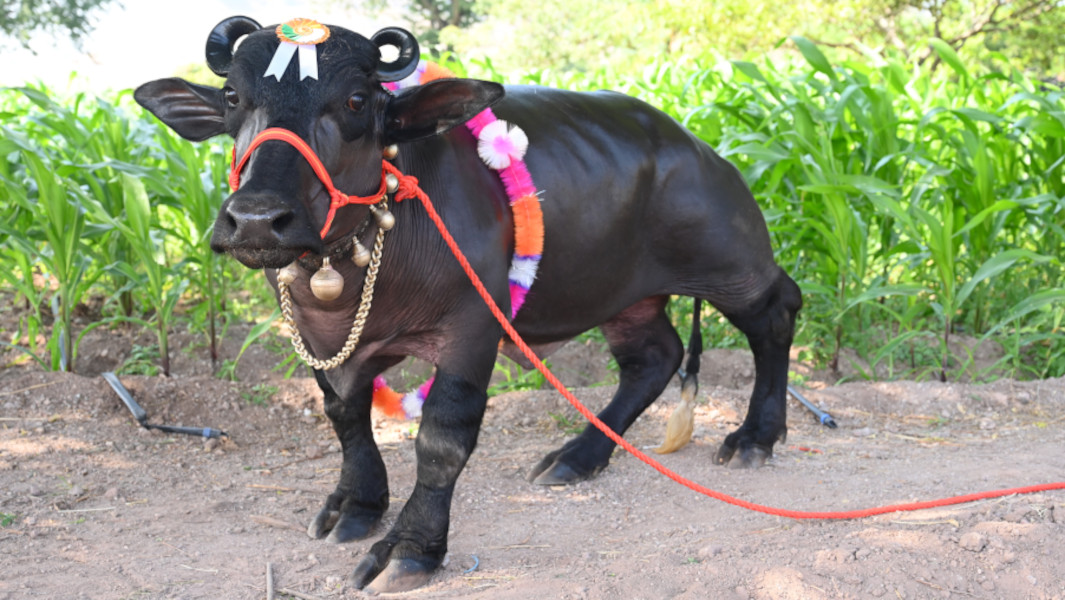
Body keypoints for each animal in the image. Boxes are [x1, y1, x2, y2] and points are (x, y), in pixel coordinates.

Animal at [134, 16, 802, 593]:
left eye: (355, 100)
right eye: (231, 97)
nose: (255, 219)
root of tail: (699, 148)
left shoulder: (471, 331)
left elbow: (441, 441)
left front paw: (409, 550)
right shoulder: (321, 343)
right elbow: (346, 417)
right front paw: (356, 503)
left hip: (733, 265)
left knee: (776, 313)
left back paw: (755, 437)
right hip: (624, 297)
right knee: (654, 357)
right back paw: (576, 457)